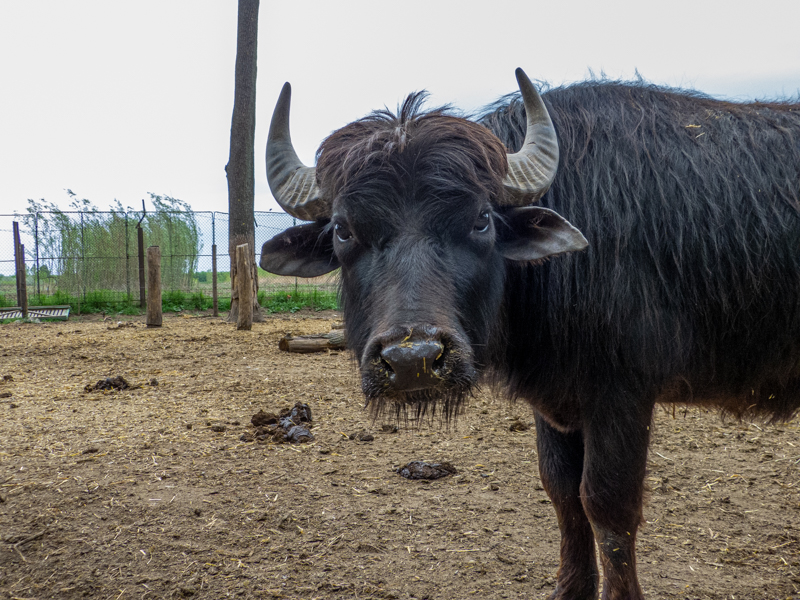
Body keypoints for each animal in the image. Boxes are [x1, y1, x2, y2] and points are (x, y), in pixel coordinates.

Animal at [259, 69, 800, 599]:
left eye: (481, 220)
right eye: (343, 230)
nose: (414, 360)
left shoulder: (623, 394)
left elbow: (608, 505)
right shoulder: (557, 401)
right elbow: (563, 493)